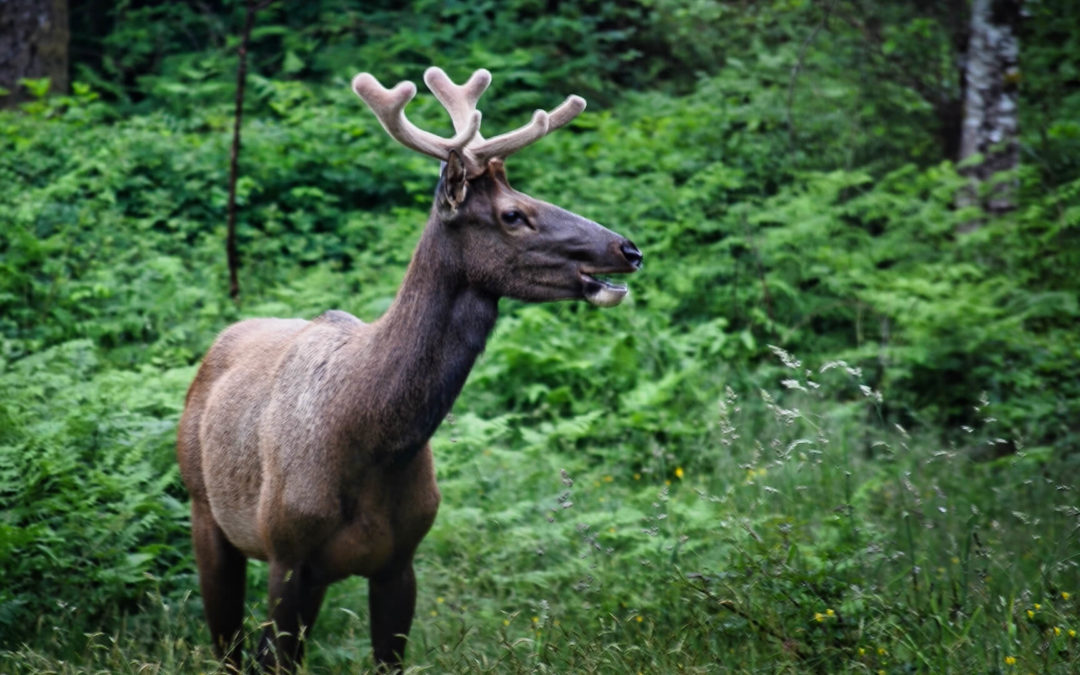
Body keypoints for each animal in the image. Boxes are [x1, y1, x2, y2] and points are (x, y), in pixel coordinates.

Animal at [177, 67, 639, 669]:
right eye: (514, 214)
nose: (628, 248)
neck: (369, 437)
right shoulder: (286, 553)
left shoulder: (401, 560)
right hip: (204, 510)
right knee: (228, 647)